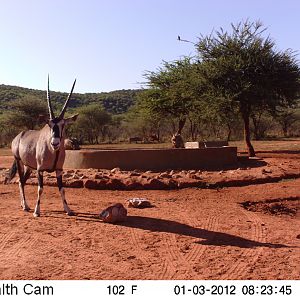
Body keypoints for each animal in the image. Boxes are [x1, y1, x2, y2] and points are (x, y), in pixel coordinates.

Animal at [6, 76, 78, 217]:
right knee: (21, 181)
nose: (55, 143)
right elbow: (40, 189)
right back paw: (26, 206)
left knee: (21, 181)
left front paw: (68, 210)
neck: (53, 152)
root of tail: (19, 136)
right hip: (19, 162)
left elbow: (62, 189)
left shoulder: (59, 170)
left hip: (29, 167)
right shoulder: (40, 170)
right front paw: (36, 211)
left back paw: (23, 205)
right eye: (49, 125)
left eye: (63, 124)